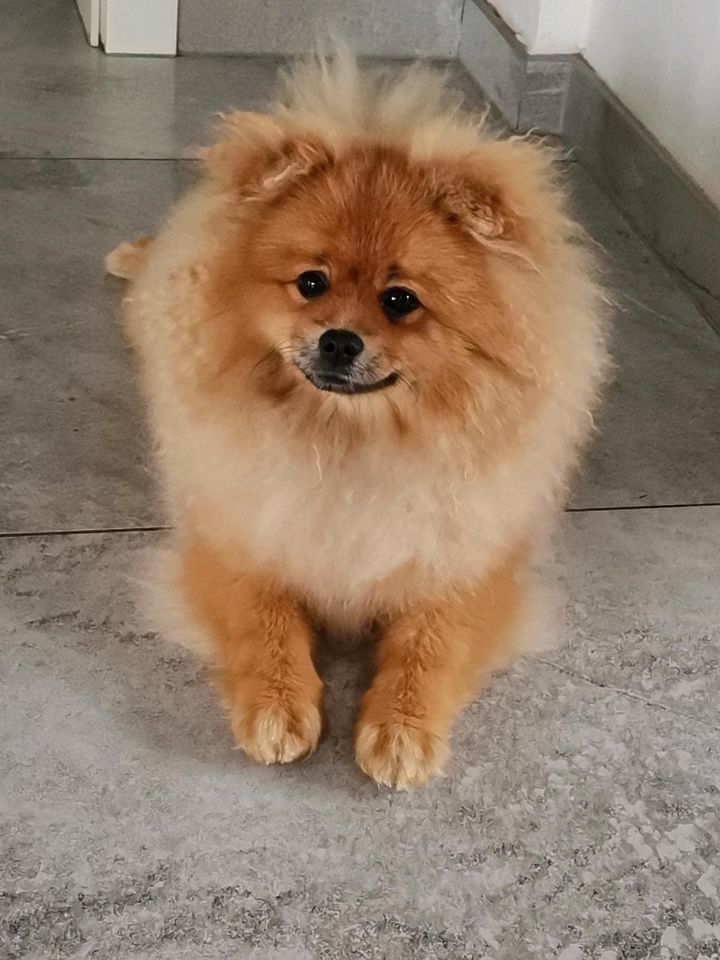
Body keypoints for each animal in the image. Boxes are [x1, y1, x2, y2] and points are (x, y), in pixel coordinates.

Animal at [107, 54, 608, 788]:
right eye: (310, 283)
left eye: (400, 300)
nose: (339, 340)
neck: (348, 443)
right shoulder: (238, 537)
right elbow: (264, 620)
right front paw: (277, 707)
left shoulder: (466, 561)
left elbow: (431, 644)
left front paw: (400, 730)